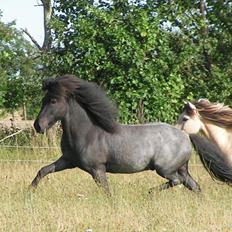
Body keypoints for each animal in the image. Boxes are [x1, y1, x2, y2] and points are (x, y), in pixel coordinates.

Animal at [30, 75, 201, 194]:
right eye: (43, 100)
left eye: (53, 100)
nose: (38, 126)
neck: (87, 134)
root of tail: (185, 135)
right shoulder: (68, 160)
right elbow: (43, 170)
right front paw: (29, 192)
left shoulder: (97, 169)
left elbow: (107, 192)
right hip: (181, 168)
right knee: (194, 185)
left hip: (164, 169)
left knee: (177, 181)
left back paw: (149, 192)